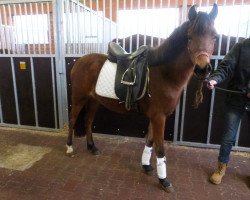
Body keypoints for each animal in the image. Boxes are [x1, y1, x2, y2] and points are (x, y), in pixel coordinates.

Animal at [66, 4, 219, 192]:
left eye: (214, 36)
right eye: (189, 37)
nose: (203, 69)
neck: (163, 73)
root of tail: (79, 62)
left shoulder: (156, 116)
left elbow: (150, 141)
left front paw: (146, 166)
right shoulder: (159, 117)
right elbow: (160, 148)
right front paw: (164, 180)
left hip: (94, 100)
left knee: (88, 120)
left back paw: (92, 147)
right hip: (78, 98)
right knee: (72, 120)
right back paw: (69, 148)